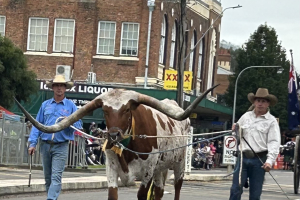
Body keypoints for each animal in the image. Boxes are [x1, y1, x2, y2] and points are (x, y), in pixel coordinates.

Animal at [15, 86, 218, 200]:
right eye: (104, 110)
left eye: (127, 109)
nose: (113, 135)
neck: (126, 148)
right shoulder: (111, 169)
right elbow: (112, 195)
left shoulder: (147, 172)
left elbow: (142, 195)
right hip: (161, 168)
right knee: (160, 191)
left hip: (179, 164)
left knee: (176, 189)